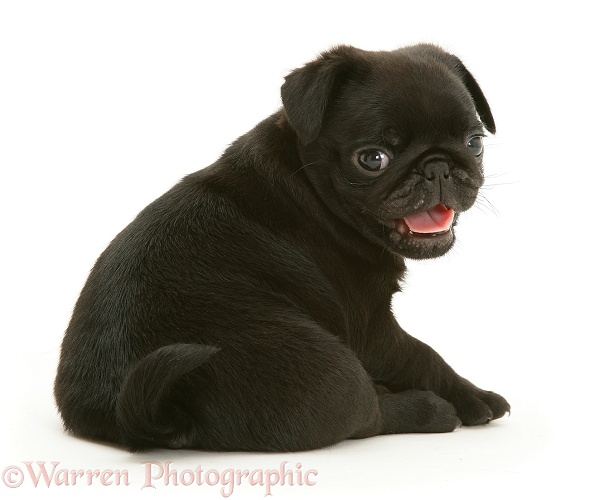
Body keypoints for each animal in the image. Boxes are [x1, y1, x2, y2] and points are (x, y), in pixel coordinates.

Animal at [56, 45, 510, 452]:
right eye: (373, 158)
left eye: (474, 143)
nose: (438, 167)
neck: (310, 183)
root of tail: (158, 416)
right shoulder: (372, 327)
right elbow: (422, 356)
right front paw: (473, 397)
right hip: (331, 365)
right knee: (366, 417)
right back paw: (427, 410)